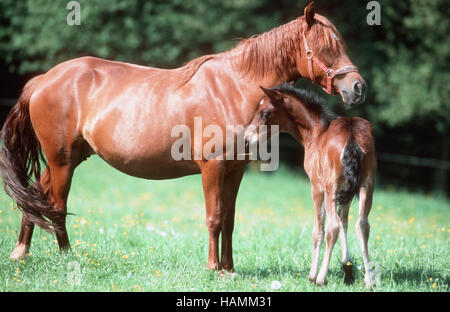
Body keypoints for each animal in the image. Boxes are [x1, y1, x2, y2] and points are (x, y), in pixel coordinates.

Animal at [0, 1, 366, 272]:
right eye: (325, 48)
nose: (357, 87)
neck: (234, 88)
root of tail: (44, 78)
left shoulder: (235, 171)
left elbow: (229, 219)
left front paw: (229, 269)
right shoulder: (212, 168)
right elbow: (214, 217)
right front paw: (212, 268)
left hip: (69, 158)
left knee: (36, 197)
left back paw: (21, 252)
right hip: (61, 160)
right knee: (56, 205)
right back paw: (68, 257)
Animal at [246, 83, 376, 288]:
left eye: (264, 112)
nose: (247, 138)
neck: (316, 133)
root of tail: (352, 138)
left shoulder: (316, 187)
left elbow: (318, 230)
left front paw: (313, 274)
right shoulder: (345, 193)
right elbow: (345, 222)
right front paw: (347, 268)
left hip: (331, 189)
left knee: (332, 226)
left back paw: (321, 278)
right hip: (367, 186)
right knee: (362, 224)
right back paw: (370, 280)